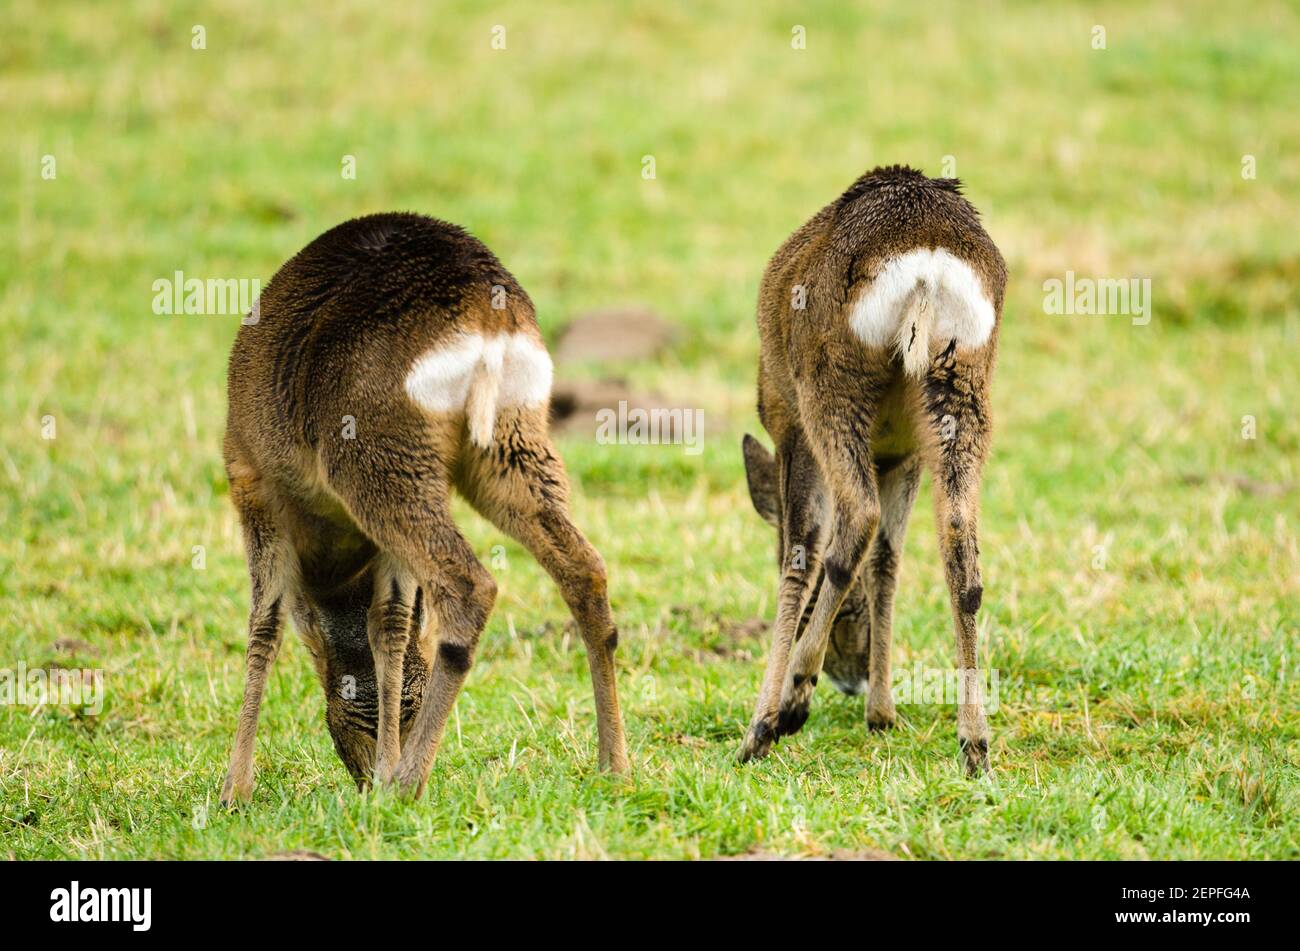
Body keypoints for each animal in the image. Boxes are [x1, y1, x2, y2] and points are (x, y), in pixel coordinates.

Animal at [218, 210, 629, 800]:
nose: (364, 778)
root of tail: (486, 312)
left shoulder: (251, 481)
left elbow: (265, 625)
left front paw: (235, 791)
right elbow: (390, 625)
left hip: (379, 458)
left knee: (468, 583)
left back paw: (406, 783)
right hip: (513, 445)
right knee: (584, 568)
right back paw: (613, 764)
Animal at [738, 163, 1008, 774]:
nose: (851, 676)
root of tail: (927, 269)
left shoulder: (788, 425)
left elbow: (798, 554)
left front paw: (770, 718)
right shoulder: (902, 453)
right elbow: (889, 560)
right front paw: (883, 714)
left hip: (827, 382)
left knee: (852, 521)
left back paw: (779, 713)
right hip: (962, 385)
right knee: (959, 542)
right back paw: (975, 743)